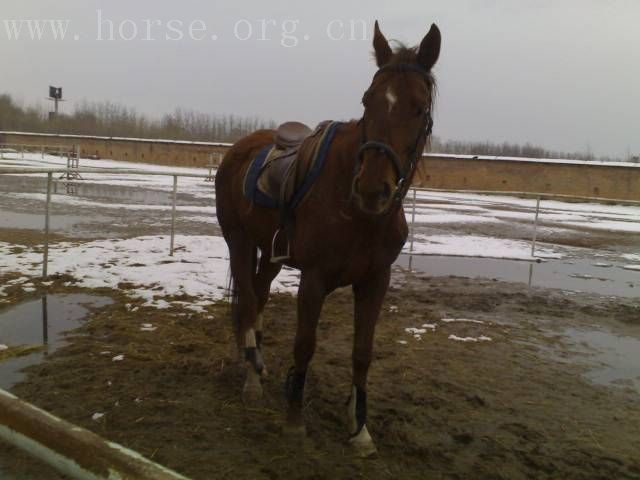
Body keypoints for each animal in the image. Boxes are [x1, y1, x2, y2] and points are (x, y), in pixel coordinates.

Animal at [215, 20, 440, 456]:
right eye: (368, 100)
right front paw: (294, 420)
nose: (371, 189)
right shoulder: (314, 278)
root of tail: (240, 148)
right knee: (248, 301)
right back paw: (251, 379)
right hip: (238, 240)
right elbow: (305, 344)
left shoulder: (376, 281)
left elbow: (362, 353)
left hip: (269, 252)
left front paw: (360, 428)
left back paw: (258, 364)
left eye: (419, 108)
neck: (359, 215)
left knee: (259, 295)